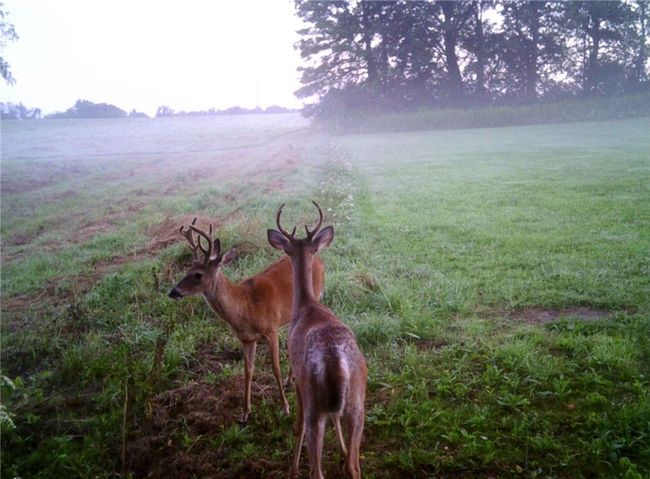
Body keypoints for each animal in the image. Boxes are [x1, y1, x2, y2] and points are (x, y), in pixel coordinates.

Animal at [167, 218, 324, 424]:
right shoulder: (247, 339)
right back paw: (291, 379)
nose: (173, 292)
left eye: (198, 274)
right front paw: (244, 413)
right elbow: (247, 371)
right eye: (188, 269)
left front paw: (285, 408)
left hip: (318, 295)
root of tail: (319, 260)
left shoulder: (271, 329)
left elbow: (275, 368)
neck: (246, 306)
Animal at [264, 202, 364, 479]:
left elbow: (297, 426)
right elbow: (336, 418)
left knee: (317, 470)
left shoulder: (299, 381)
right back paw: (347, 461)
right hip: (358, 402)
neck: (306, 306)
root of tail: (337, 362)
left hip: (314, 403)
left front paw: (293, 469)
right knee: (355, 466)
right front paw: (342, 451)